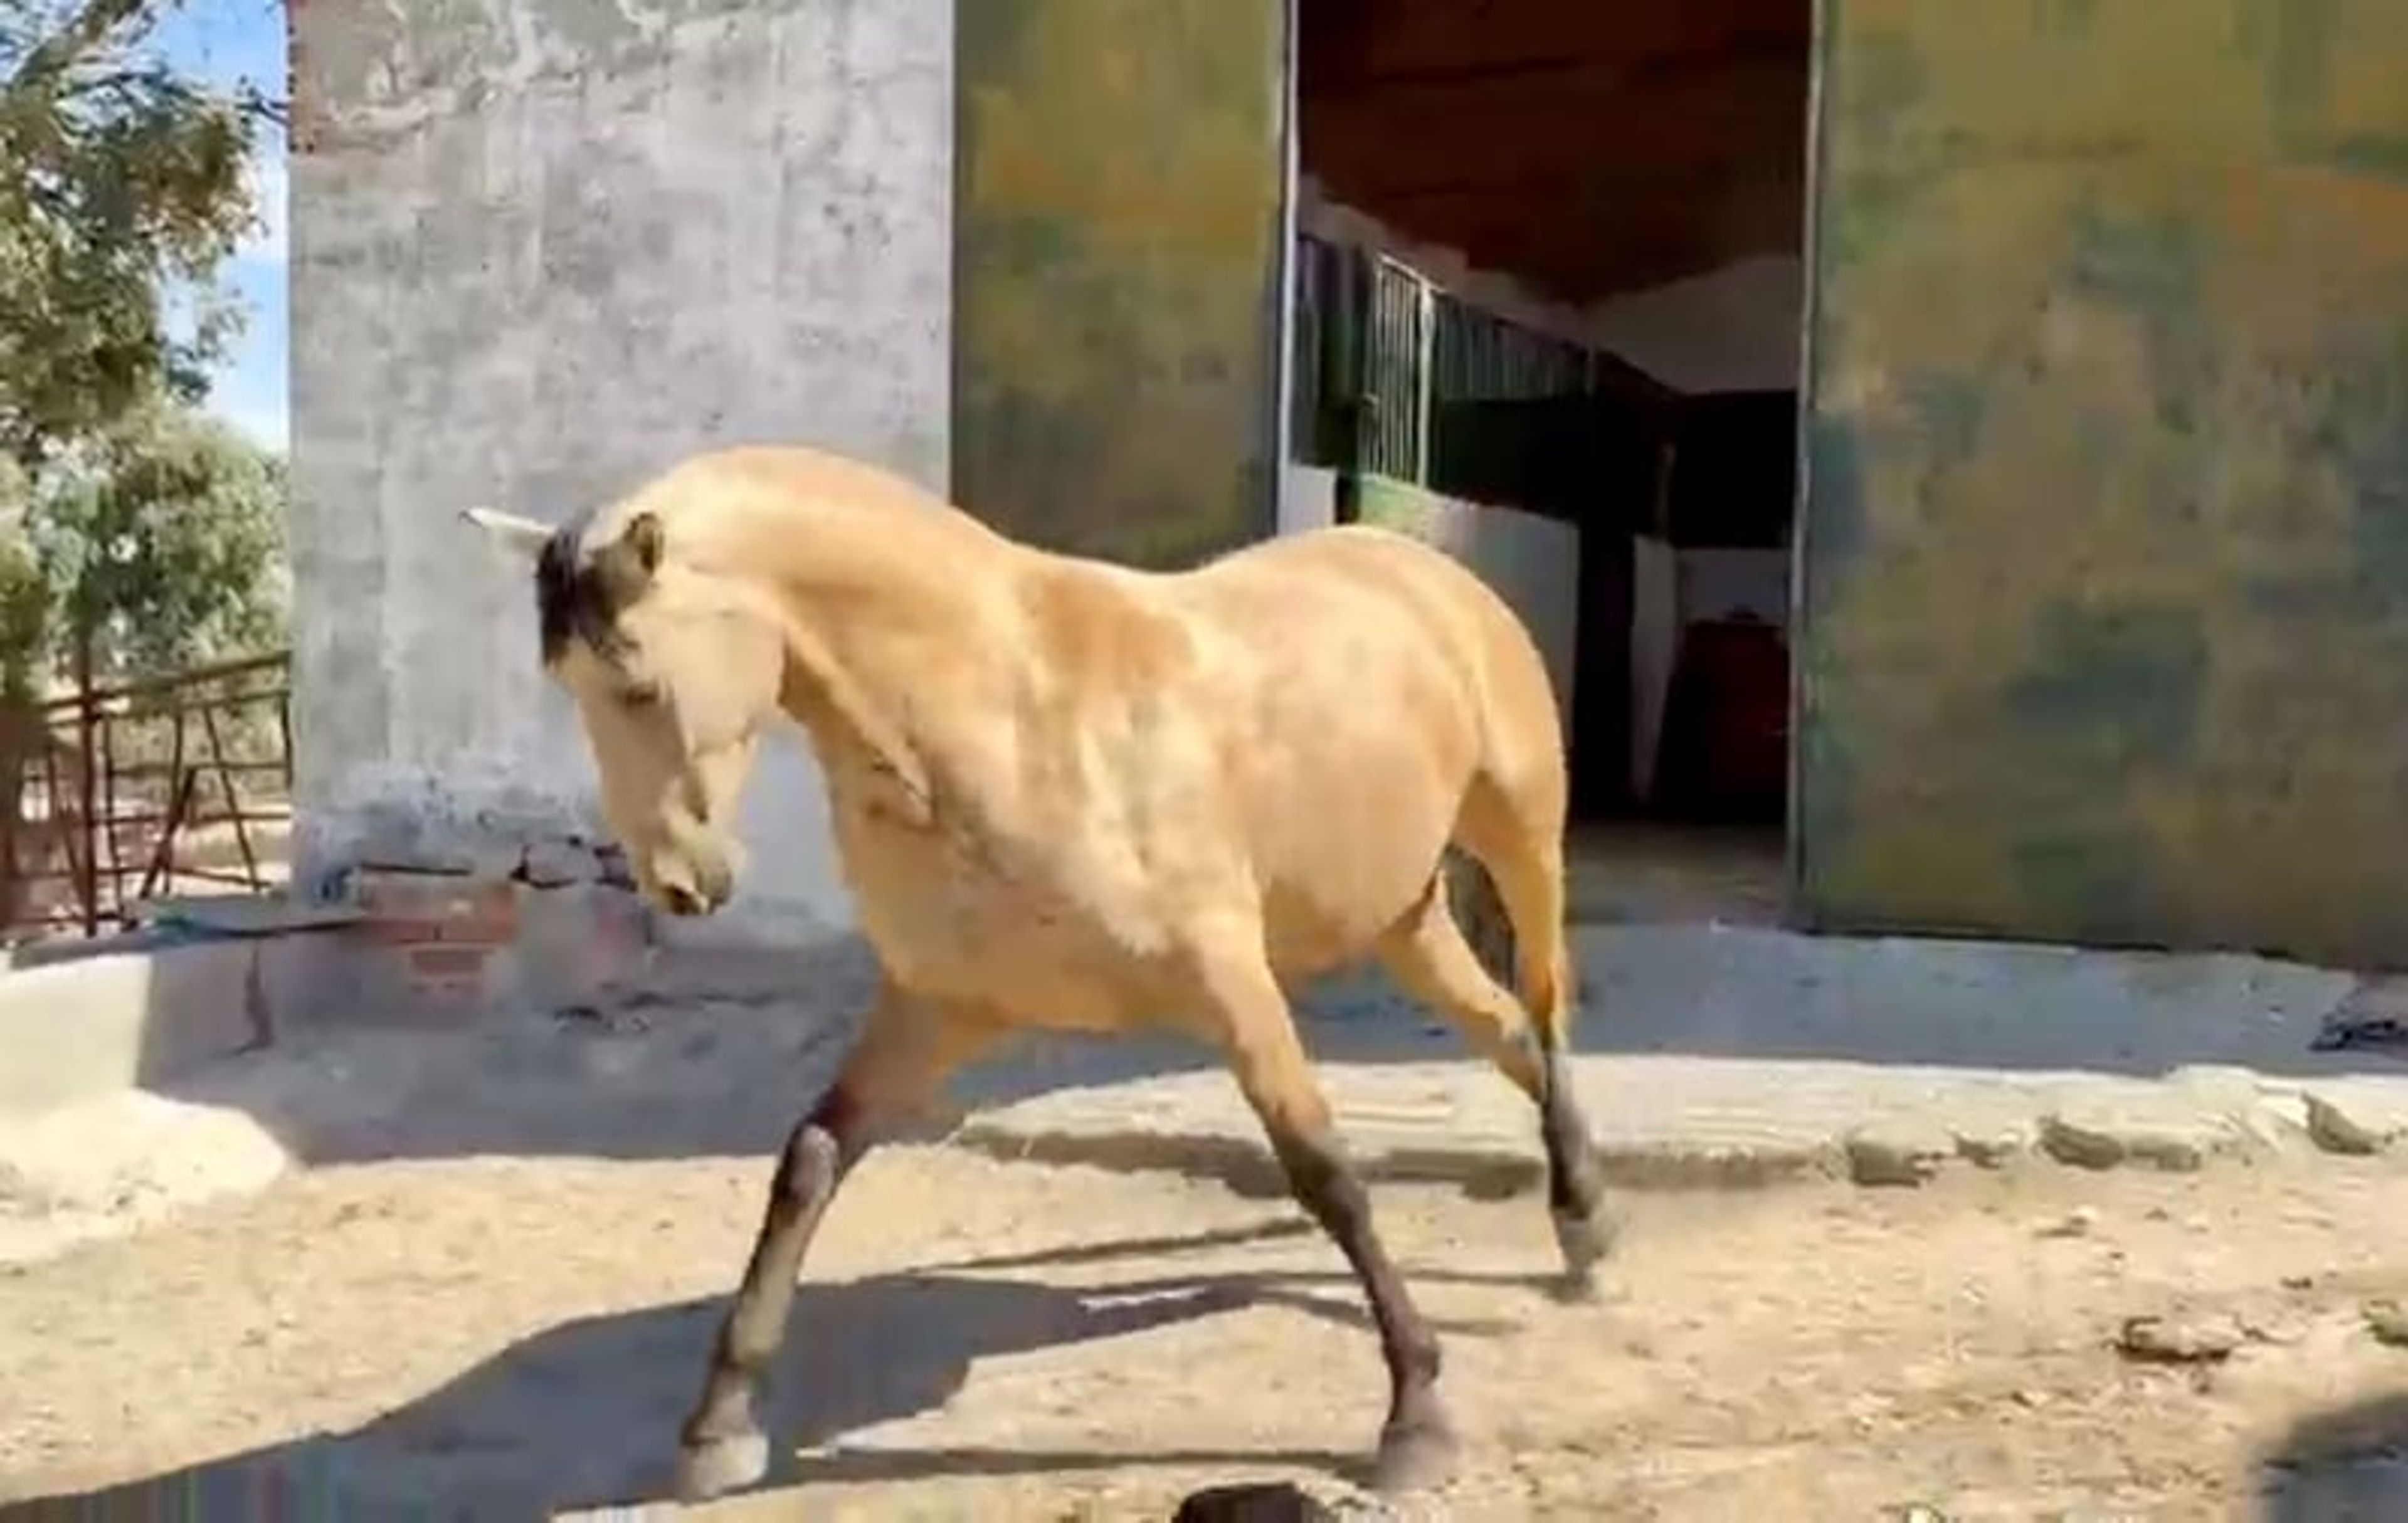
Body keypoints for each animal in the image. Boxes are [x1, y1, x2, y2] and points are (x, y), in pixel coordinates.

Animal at [463, 444, 1611, 1502]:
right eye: (570, 688)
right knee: (1511, 1032)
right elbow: (811, 1160)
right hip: (1405, 917)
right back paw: (1581, 1218)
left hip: (1519, 840)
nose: (680, 883)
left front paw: (1417, 1420)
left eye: (638, 679)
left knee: (1548, 1011)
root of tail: (1421, 567)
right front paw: (719, 1429)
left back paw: (1584, 1223)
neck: (1010, 710)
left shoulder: (1231, 983)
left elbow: (1326, 1171)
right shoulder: (937, 1005)